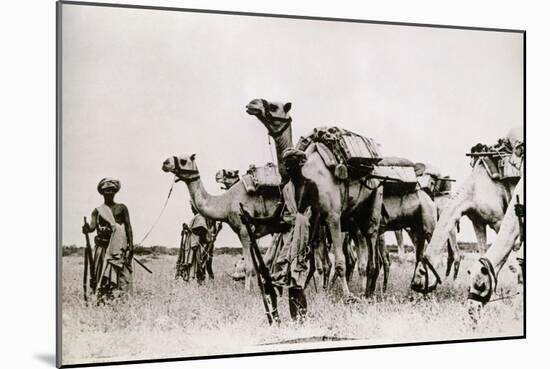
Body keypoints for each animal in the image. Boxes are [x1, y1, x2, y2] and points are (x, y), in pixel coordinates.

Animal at [161, 154, 282, 288]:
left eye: (183, 160)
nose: (165, 163)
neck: (226, 203)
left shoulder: (245, 230)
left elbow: (249, 268)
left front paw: (248, 291)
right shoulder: (243, 233)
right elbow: (253, 266)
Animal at [246, 97, 384, 296]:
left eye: (273, 106)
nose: (252, 104)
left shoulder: (333, 216)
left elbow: (338, 262)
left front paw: (347, 295)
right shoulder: (314, 220)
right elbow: (317, 263)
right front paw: (320, 292)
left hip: (374, 200)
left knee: (371, 239)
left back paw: (368, 292)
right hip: (353, 217)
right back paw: (366, 289)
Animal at [410, 132, 528, 294]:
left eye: (422, 271)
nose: (415, 285)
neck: (474, 191)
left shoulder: (498, 220)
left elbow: (511, 256)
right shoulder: (478, 222)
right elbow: (483, 251)